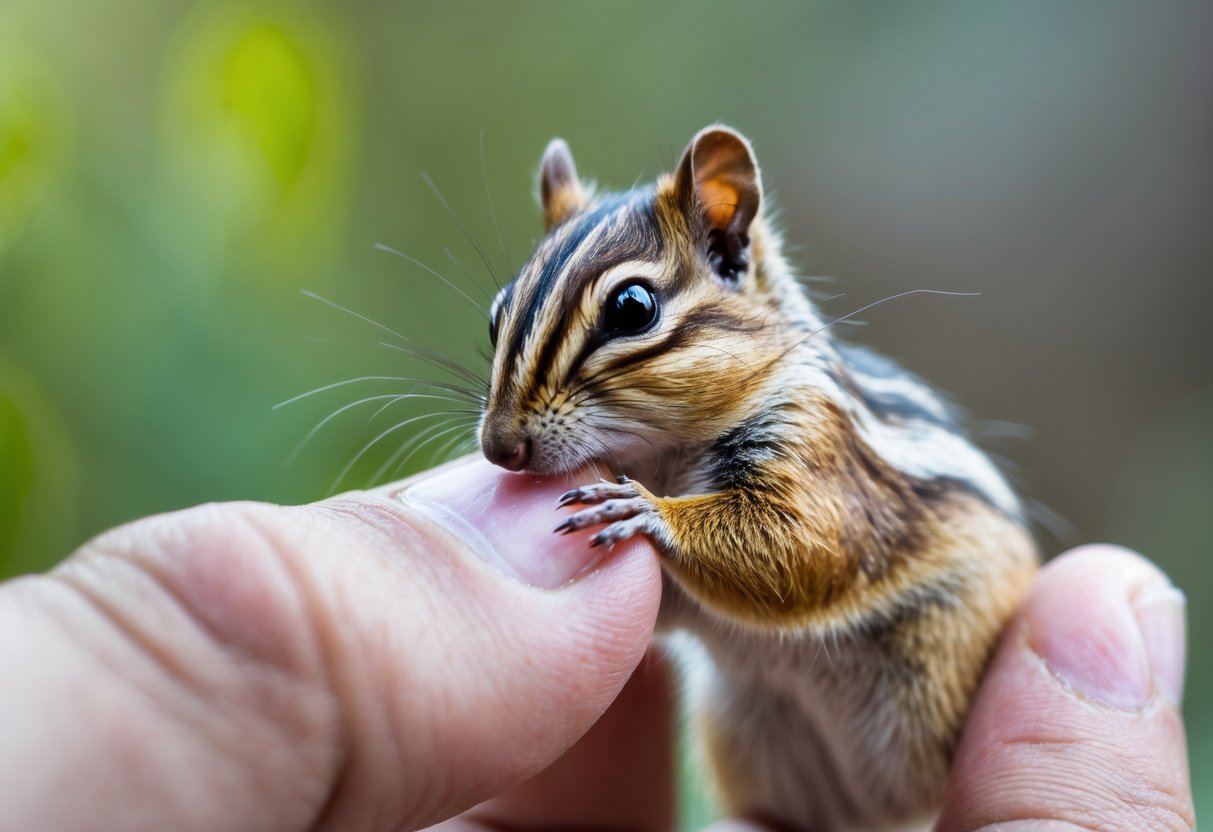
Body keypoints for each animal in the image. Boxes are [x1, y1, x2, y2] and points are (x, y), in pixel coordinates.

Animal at [478, 125, 1038, 831]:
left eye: (632, 308)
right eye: (495, 317)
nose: (498, 448)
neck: (665, 457)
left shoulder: (818, 448)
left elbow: (798, 544)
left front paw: (647, 512)